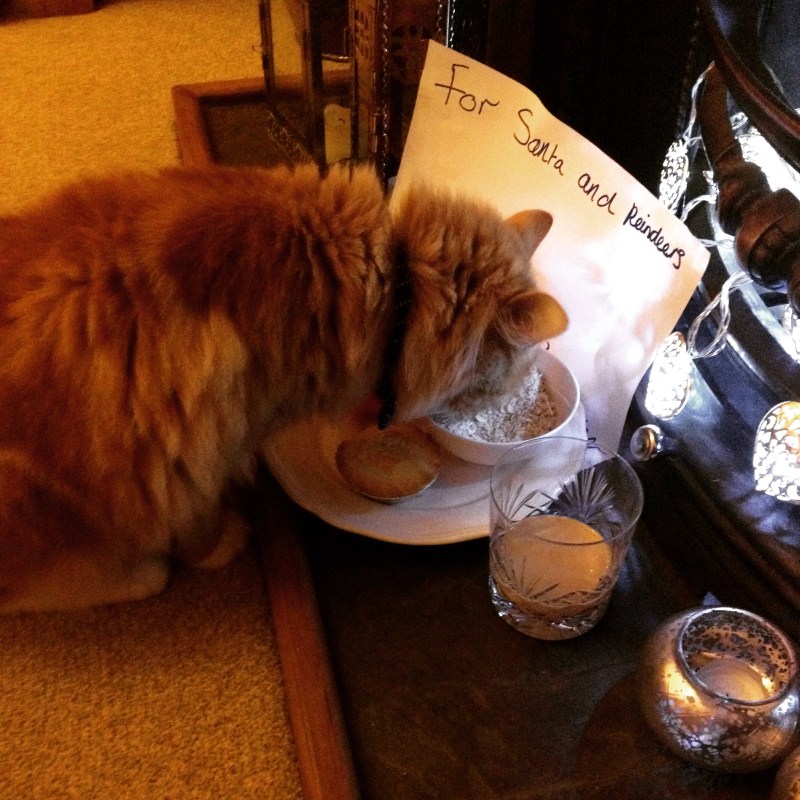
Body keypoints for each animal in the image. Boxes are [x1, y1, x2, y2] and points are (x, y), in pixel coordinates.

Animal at [0, 161, 567, 611]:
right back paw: (138, 572)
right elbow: (195, 519)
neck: (392, 287)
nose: (511, 396)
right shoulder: (192, 444)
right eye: (510, 381)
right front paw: (219, 545)